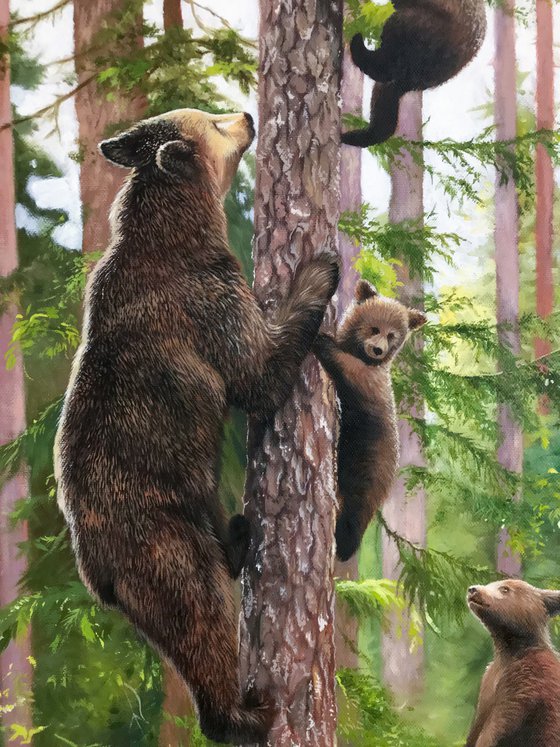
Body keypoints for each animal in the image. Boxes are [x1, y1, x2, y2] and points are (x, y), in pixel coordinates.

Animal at [54, 108, 340, 744]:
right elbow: (256, 372)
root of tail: (94, 574)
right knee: (201, 614)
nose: (248, 114)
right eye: (212, 120)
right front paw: (319, 268)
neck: (178, 233)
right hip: (162, 538)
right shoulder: (204, 302)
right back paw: (246, 711)